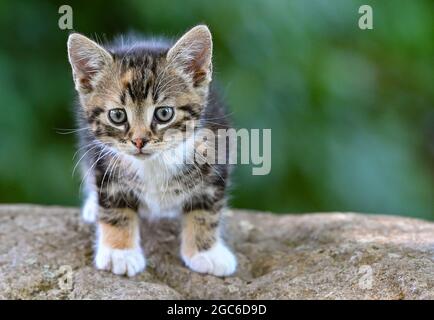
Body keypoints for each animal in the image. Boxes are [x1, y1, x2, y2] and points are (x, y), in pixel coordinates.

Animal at [67, 25, 237, 276]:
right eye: (117, 115)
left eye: (164, 113)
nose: (139, 141)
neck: (155, 161)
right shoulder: (103, 161)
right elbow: (114, 206)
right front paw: (120, 252)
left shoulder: (217, 154)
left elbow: (207, 209)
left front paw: (206, 252)